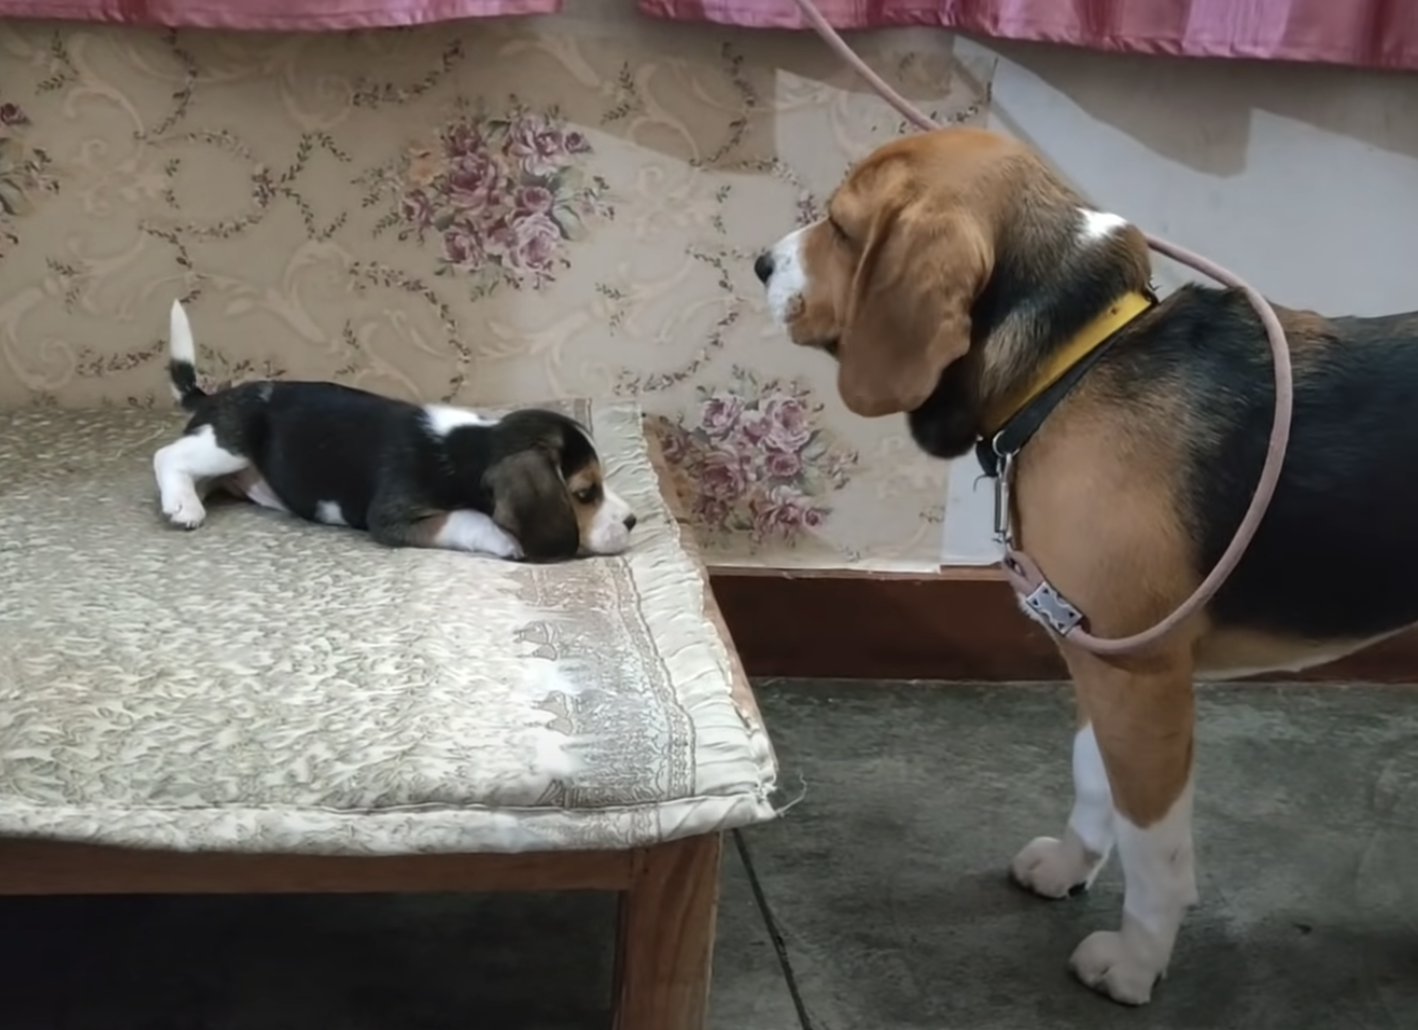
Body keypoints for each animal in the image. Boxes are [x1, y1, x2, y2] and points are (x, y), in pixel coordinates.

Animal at [152, 301, 637, 562]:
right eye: (584, 494)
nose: (632, 520)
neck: (467, 448)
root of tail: (211, 397)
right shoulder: (391, 518)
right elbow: (466, 517)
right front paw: (503, 538)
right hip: (230, 443)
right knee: (167, 457)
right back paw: (183, 504)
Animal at [753, 125, 1418, 1005]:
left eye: (840, 226)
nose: (761, 263)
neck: (1072, 365)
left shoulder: (1142, 676)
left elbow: (1153, 848)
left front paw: (1135, 962)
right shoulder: (1095, 657)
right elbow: (1092, 778)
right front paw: (1071, 866)